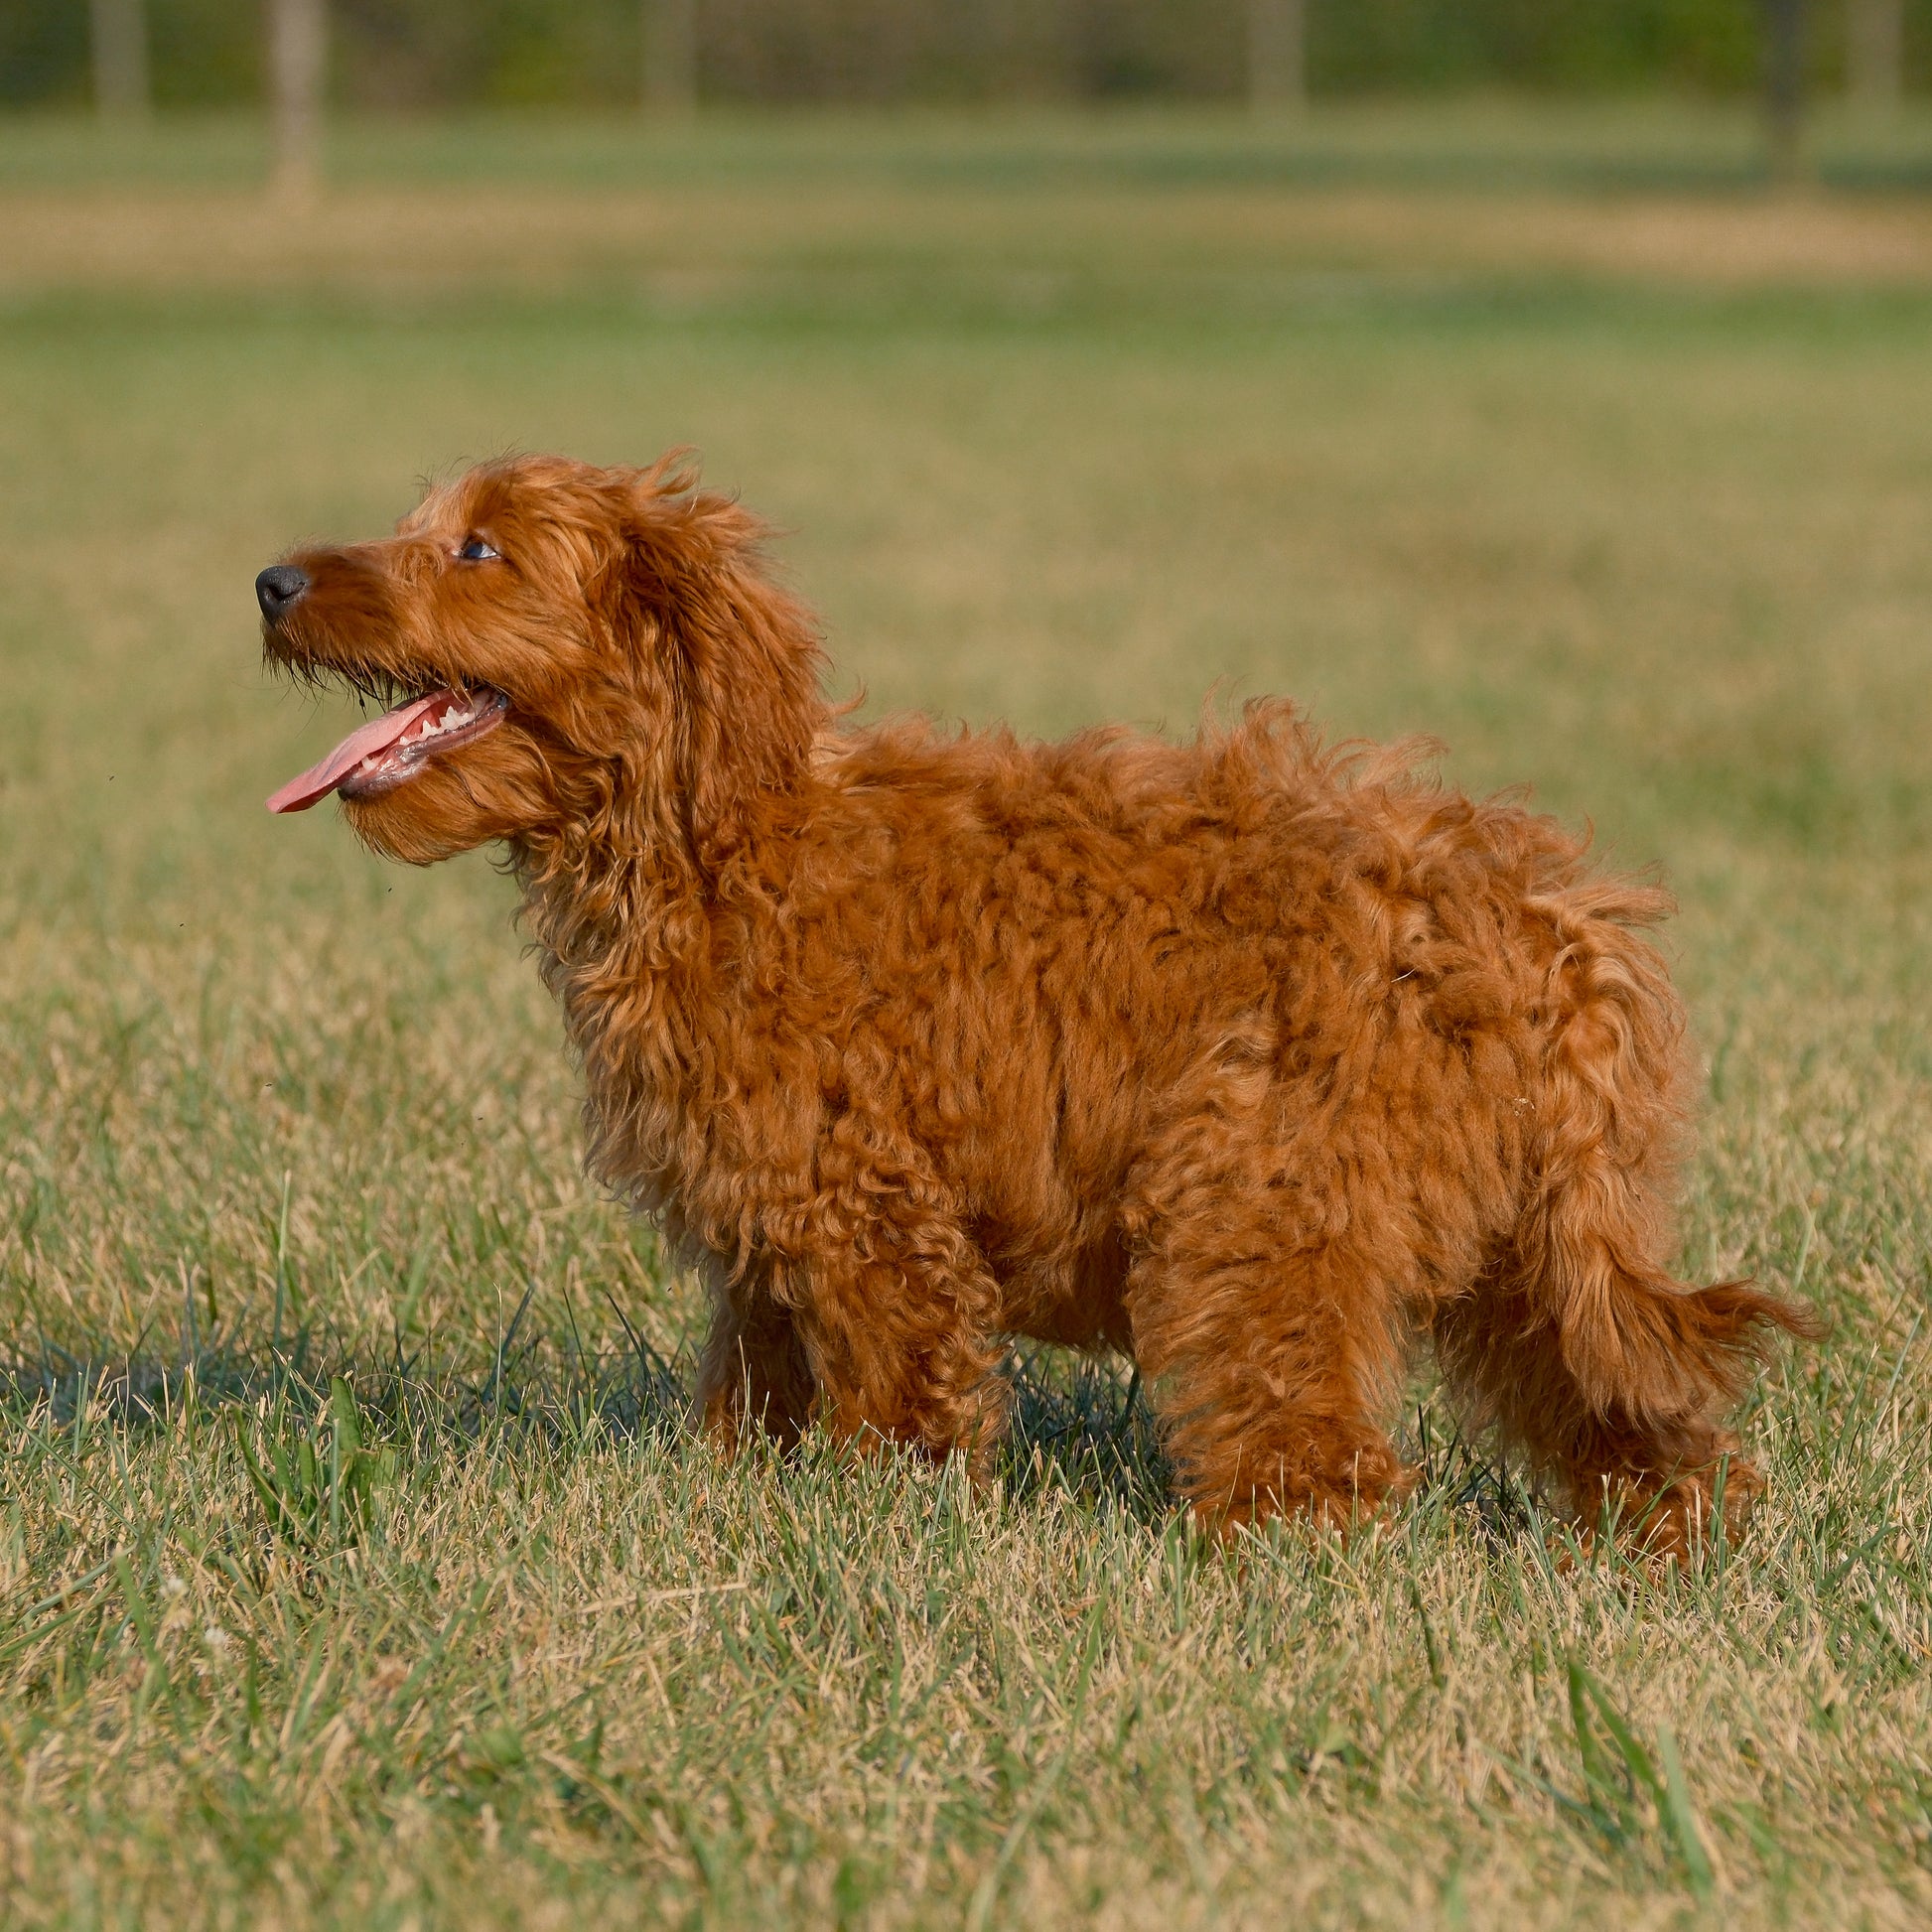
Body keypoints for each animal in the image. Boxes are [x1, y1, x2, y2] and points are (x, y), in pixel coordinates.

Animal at [256, 452, 1808, 1553]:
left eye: (478, 548)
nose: (270, 580)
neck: (715, 831)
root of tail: (1547, 925)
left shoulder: (868, 1208)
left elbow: (903, 1392)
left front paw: (877, 1526)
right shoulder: (767, 1223)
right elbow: (754, 1378)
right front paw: (744, 1497)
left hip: (1255, 1194)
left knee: (1318, 1451)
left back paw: (1267, 1557)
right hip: (1522, 1242)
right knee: (1634, 1415)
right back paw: (1665, 1549)